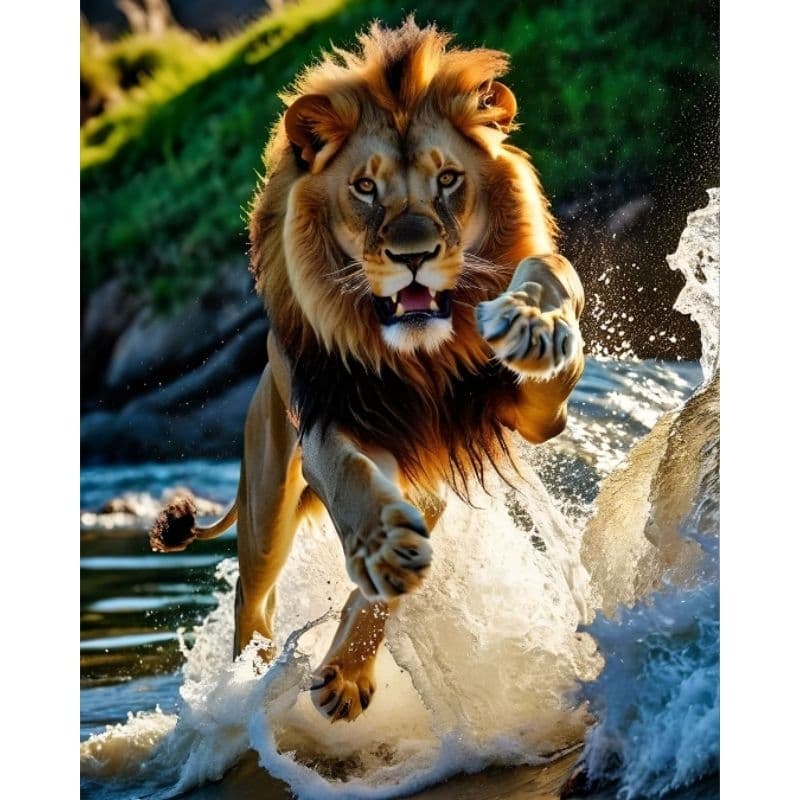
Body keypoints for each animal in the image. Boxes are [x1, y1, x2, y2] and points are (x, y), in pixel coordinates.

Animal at [150, 18, 585, 723]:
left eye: (447, 180)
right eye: (365, 187)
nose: (414, 256)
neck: (421, 359)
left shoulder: (535, 417)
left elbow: (549, 274)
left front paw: (533, 322)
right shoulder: (332, 424)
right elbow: (354, 481)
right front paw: (382, 548)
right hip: (266, 500)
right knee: (253, 595)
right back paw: (252, 683)